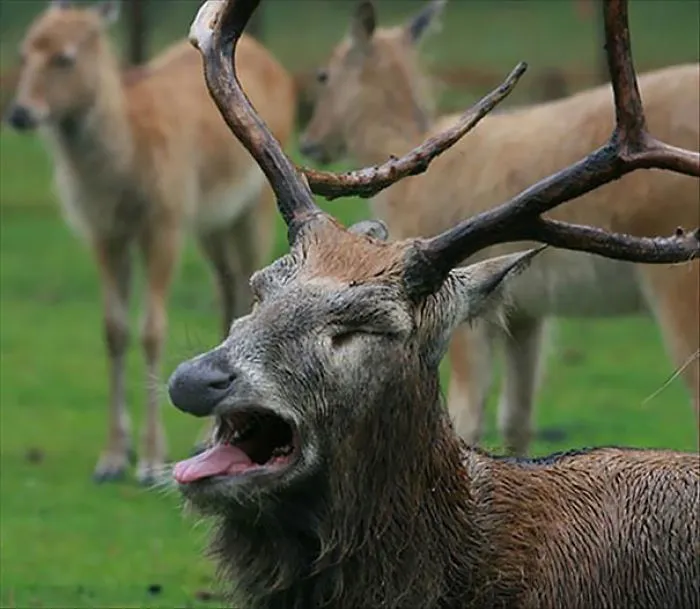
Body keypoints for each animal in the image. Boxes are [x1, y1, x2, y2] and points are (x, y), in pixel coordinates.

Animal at [3, 0, 297, 485]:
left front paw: (149, 459)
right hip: (211, 222)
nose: (21, 113)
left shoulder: (166, 218)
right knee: (228, 287)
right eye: (25, 52)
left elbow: (153, 329)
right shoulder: (103, 230)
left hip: (252, 206)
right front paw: (111, 458)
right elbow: (114, 328)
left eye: (65, 57)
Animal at [298, 0, 700, 457]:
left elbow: (466, 413)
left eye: (323, 75)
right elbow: (516, 418)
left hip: (678, 280)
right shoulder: (525, 311)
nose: (309, 143)